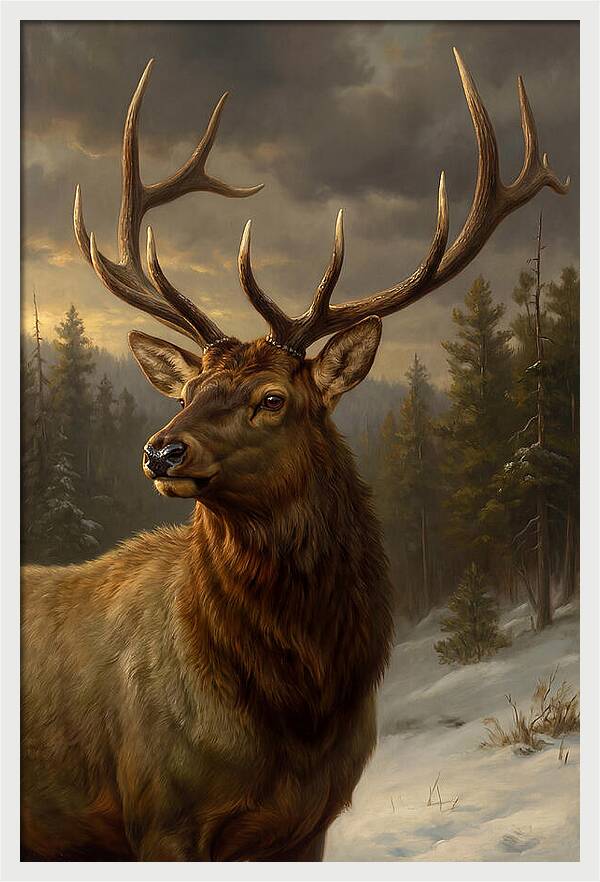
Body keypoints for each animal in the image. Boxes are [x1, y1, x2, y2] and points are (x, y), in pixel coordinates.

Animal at [21, 49, 568, 862]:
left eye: (273, 398)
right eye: (189, 388)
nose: (160, 451)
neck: (296, 712)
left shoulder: (309, 822)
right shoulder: (158, 815)